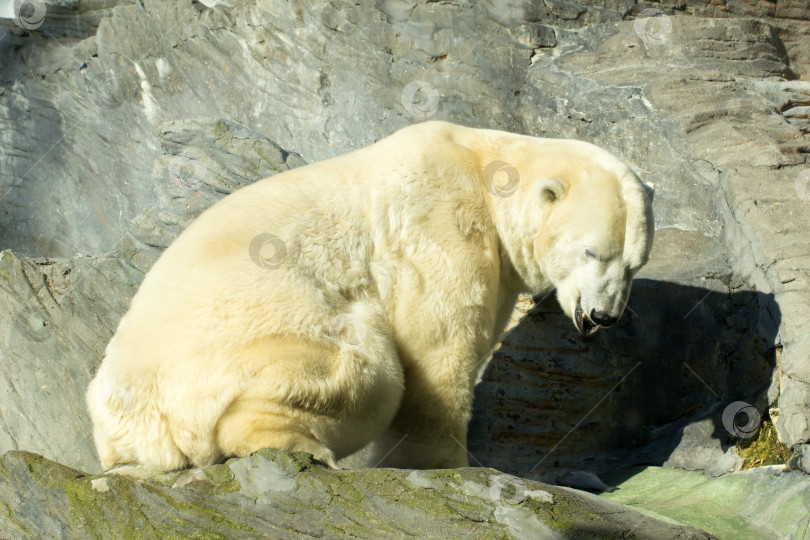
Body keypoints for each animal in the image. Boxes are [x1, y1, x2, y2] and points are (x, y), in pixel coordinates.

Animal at [85, 121, 652, 472]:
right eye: (591, 251)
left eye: (633, 263)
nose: (603, 316)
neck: (487, 166)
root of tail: (137, 423)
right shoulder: (439, 220)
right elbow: (436, 346)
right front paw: (446, 462)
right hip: (242, 337)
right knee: (364, 364)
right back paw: (296, 442)